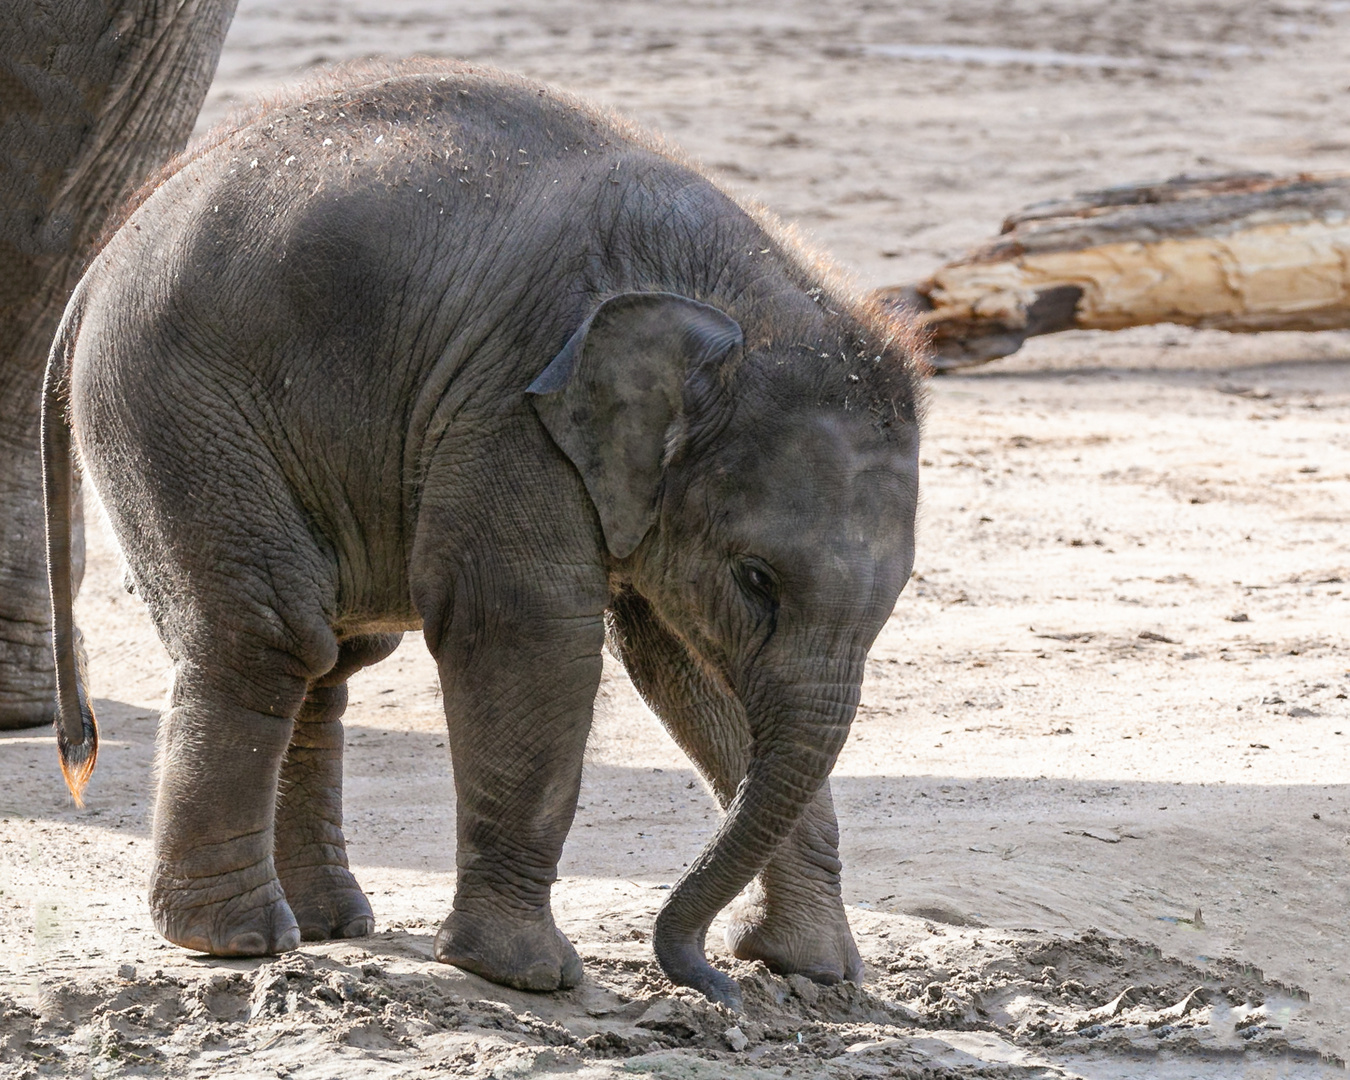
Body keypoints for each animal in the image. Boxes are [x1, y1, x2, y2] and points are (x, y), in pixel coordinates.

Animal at [44, 59, 928, 1009]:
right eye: (757, 578)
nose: (716, 981)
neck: (734, 304)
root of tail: (100, 262)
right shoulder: (511, 406)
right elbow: (524, 631)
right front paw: (525, 976)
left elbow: (692, 670)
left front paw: (816, 970)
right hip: (175, 408)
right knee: (268, 637)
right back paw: (236, 941)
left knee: (328, 658)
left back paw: (326, 927)